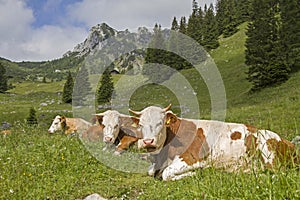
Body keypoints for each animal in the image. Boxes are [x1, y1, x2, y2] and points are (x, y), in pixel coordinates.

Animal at [129, 104, 300, 181]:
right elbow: (151, 171)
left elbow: (166, 173)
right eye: (141, 125)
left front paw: (195, 173)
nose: (148, 142)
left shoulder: (191, 159)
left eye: (160, 123)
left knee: (277, 172)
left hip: (267, 148)